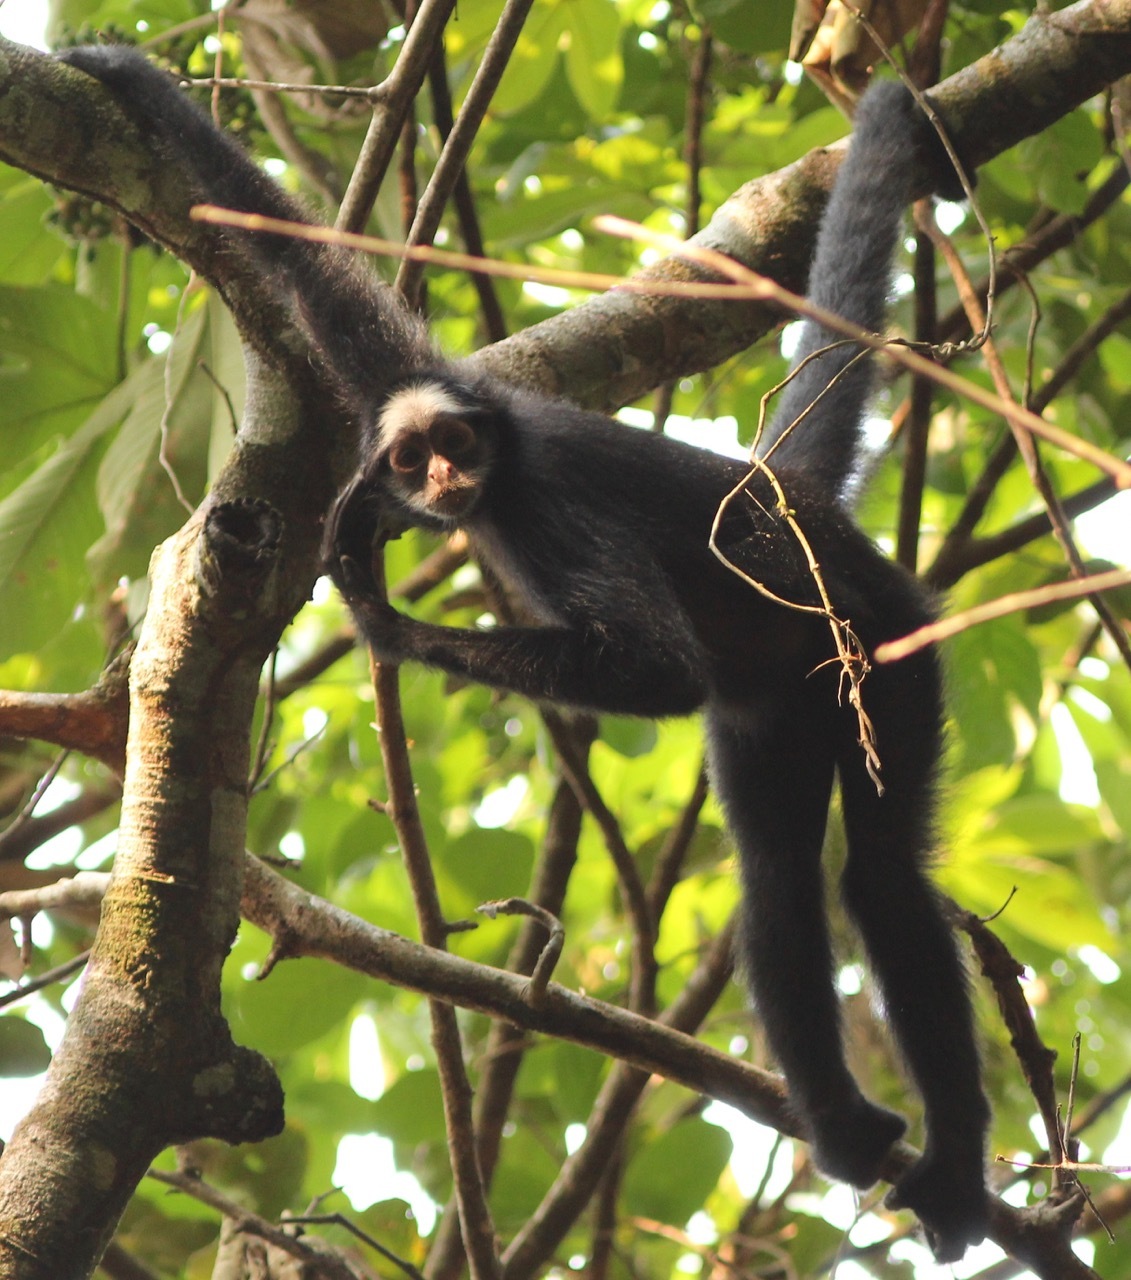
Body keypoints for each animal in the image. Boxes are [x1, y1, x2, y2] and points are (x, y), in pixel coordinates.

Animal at [59, 42, 987, 1259]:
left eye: (455, 444)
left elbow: (658, 668)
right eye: (414, 454)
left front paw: (383, 621)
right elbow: (319, 278)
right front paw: (135, 84)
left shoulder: (547, 493)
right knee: (778, 880)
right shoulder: (411, 382)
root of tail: (793, 498)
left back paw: (958, 1169)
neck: (500, 474)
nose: (446, 477)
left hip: (885, 642)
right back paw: (840, 1122)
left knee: (876, 876)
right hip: (779, 706)